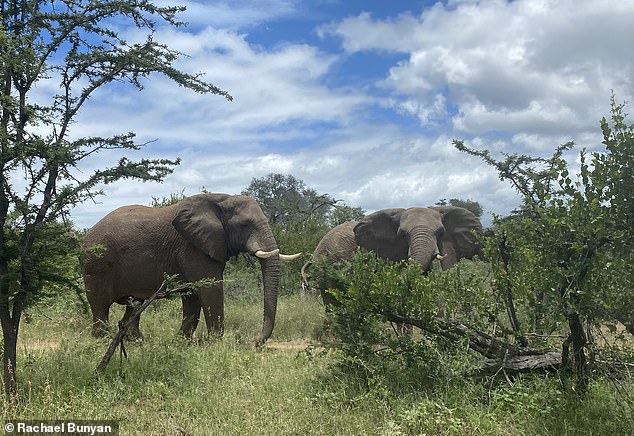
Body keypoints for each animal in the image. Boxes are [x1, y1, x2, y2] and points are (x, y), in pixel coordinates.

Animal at [82, 192, 300, 346]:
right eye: (245, 225)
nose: (255, 341)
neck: (222, 199)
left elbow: (192, 294)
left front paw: (182, 341)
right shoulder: (192, 248)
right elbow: (210, 289)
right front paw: (215, 344)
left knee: (134, 304)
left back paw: (136, 340)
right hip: (97, 264)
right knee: (100, 304)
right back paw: (102, 339)